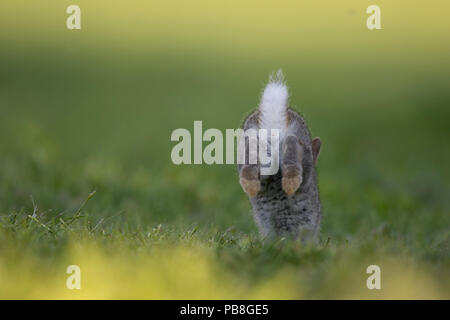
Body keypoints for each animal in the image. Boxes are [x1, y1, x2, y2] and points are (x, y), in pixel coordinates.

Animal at [239, 70, 320, 240]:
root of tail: (273, 126)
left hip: (253, 146)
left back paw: (251, 187)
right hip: (299, 146)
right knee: (292, 146)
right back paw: (290, 184)